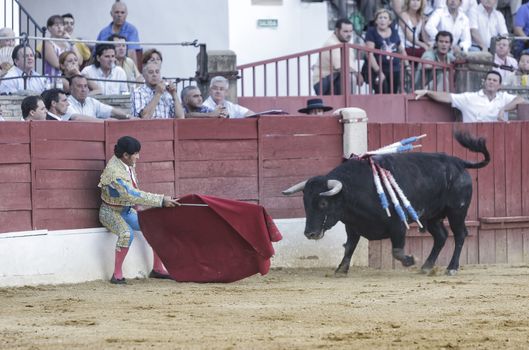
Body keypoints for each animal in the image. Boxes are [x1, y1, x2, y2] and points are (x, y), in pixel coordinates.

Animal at [282, 132, 488, 276]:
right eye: (305, 202)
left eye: (323, 202)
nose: (310, 233)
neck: (353, 191)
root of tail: (459, 162)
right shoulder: (353, 225)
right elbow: (349, 246)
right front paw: (341, 269)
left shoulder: (398, 224)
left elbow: (396, 251)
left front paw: (410, 259)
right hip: (432, 217)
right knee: (441, 237)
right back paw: (427, 266)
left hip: (456, 211)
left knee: (460, 235)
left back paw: (451, 268)